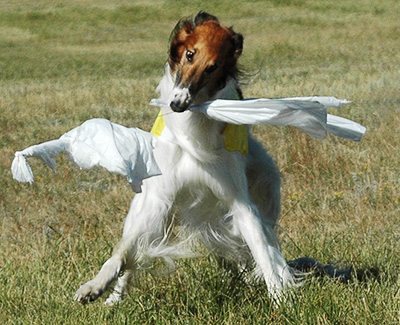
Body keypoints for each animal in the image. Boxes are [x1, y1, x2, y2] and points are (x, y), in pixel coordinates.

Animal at [73, 10, 296, 304]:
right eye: (190, 54)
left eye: (213, 67)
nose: (177, 104)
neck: (193, 131)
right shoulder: (160, 197)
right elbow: (123, 251)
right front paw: (94, 286)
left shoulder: (240, 202)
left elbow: (263, 252)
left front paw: (282, 299)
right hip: (146, 208)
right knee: (132, 256)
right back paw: (114, 297)